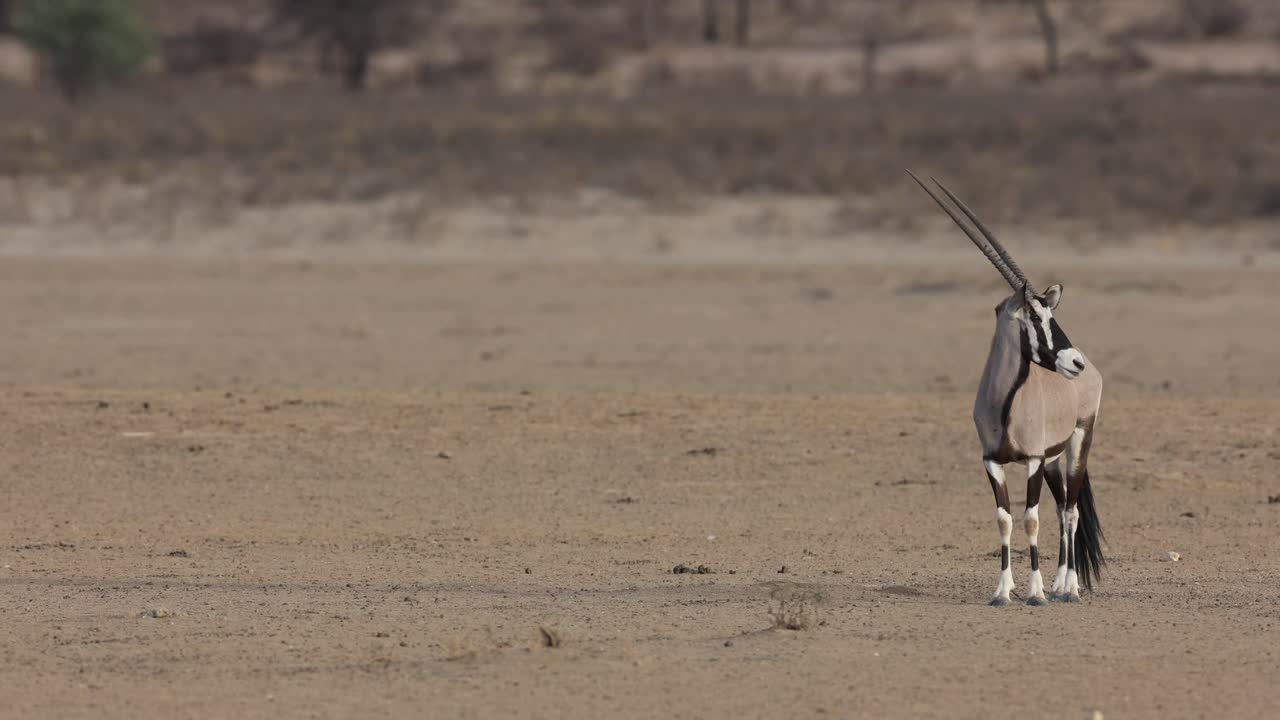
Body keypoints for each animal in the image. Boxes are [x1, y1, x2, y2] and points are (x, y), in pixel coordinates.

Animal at [907, 170, 1105, 605]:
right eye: (1034, 315)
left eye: (1050, 314)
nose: (1075, 362)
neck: (1005, 404)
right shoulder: (992, 461)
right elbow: (1004, 518)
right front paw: (1003, 590)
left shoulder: (1030, 460)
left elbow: (1030, 519)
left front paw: (1036, 592)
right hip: (1053, 460)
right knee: (1061, 505)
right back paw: (1060, 582)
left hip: (1078, 442)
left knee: (1070, 510)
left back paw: (1068, 587)